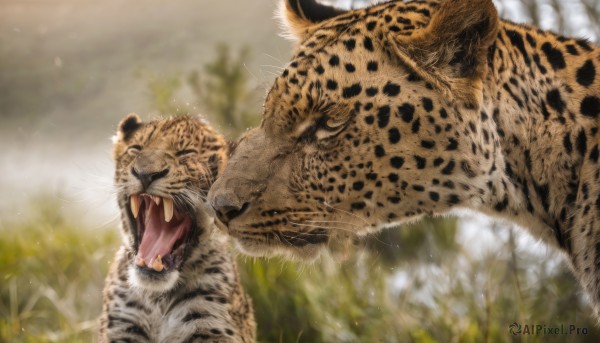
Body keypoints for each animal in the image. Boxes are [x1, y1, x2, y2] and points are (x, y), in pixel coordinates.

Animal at [101, 115, 255, 343]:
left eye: (186, 154)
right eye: (135, 149)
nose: (145, 174)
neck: (158, 298)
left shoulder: (213, 327)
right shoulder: (121, 326)